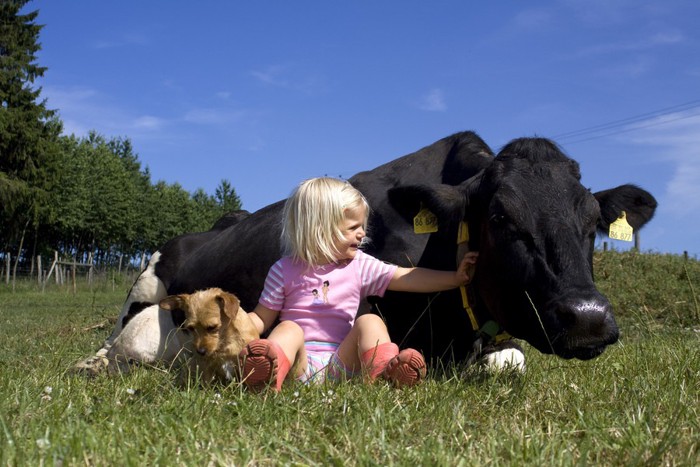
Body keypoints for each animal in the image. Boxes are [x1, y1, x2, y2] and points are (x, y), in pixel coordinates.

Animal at [76, 132, 656, 376]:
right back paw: (91, 364)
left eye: (592, 222)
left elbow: (512, 362)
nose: (587, 317)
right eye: (500, 219)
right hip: (143, 294)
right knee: (116, 344)